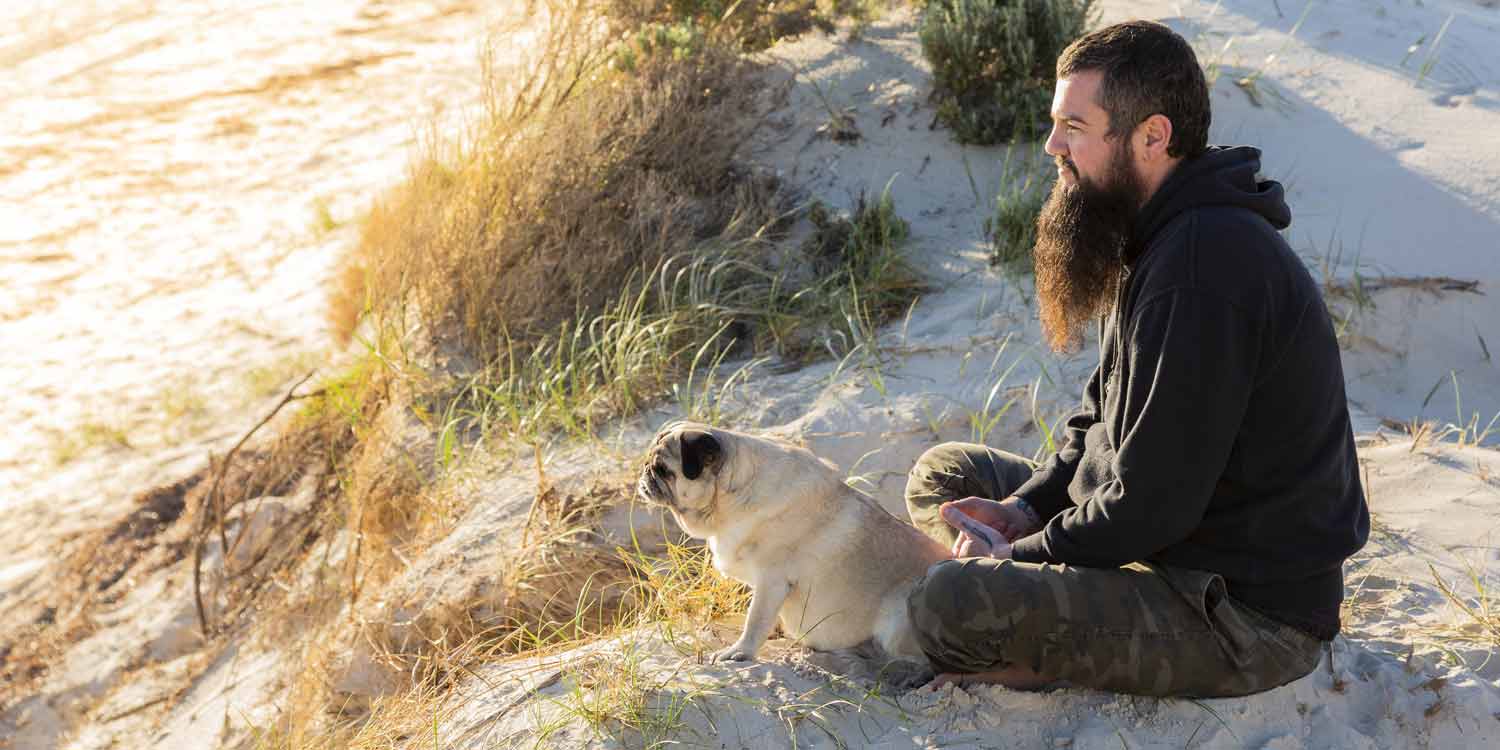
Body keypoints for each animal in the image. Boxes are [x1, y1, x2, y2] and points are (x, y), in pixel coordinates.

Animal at [635, 421, 951, 669]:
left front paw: (740, 652)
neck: (731, 496)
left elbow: (756, 621)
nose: (644, 474)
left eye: (663, 470)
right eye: (651, 464)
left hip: (898, 618)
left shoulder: (772, 581)